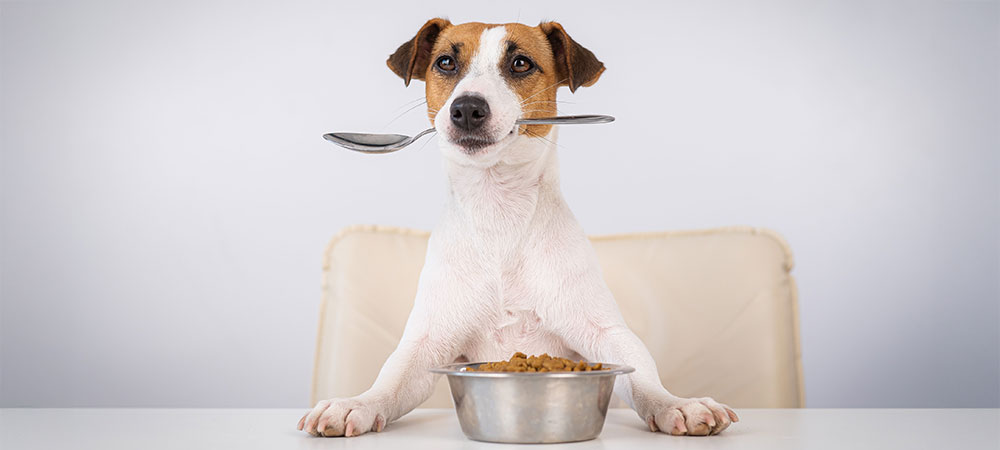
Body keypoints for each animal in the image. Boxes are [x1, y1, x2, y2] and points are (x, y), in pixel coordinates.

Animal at [296, 19, 736, 438]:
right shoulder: (427, 344)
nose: (467, 108)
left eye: (521, 63)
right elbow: (392, 379)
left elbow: (641, 373)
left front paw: (676, 404)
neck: (499, 211)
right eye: (445, 62)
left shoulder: (605, 333)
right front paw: (355, 404)